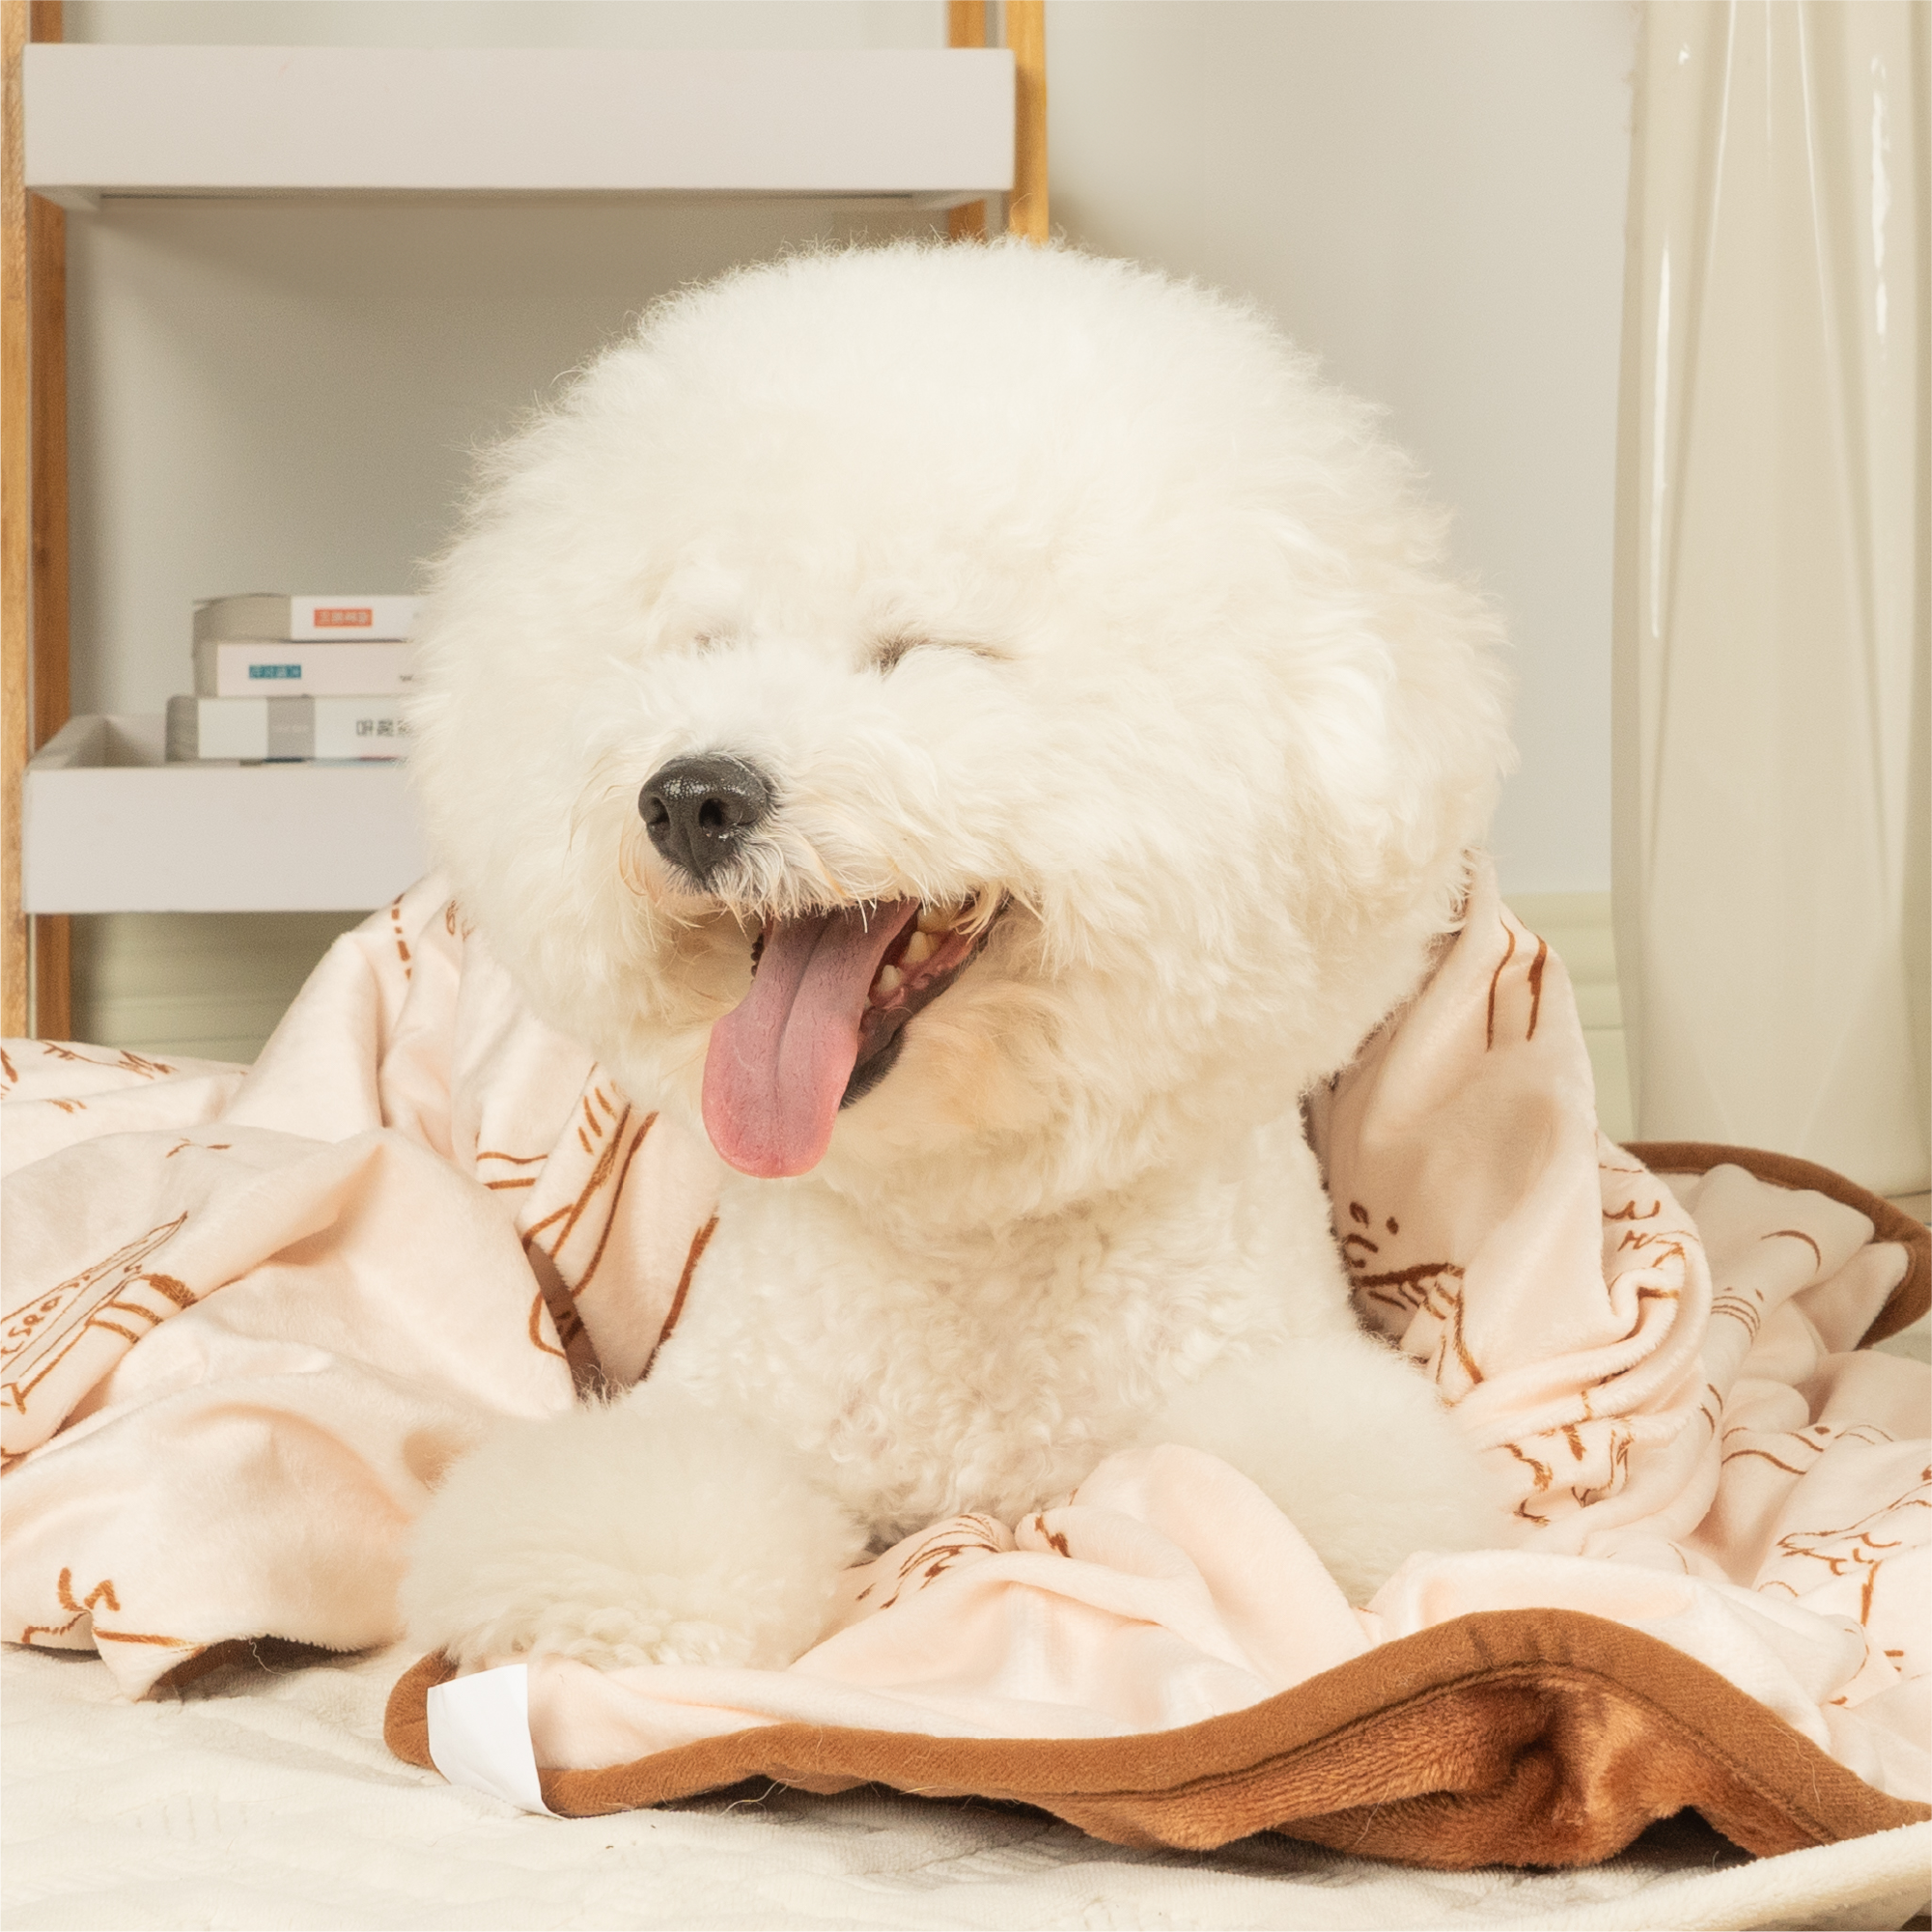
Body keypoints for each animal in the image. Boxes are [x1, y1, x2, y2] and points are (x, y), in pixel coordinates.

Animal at [400, 241, 1513, 1675]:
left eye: (922, 652)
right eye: (701, 643)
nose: (692, 796)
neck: (968, 1232)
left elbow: (1248, 1507)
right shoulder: (732, 1400)